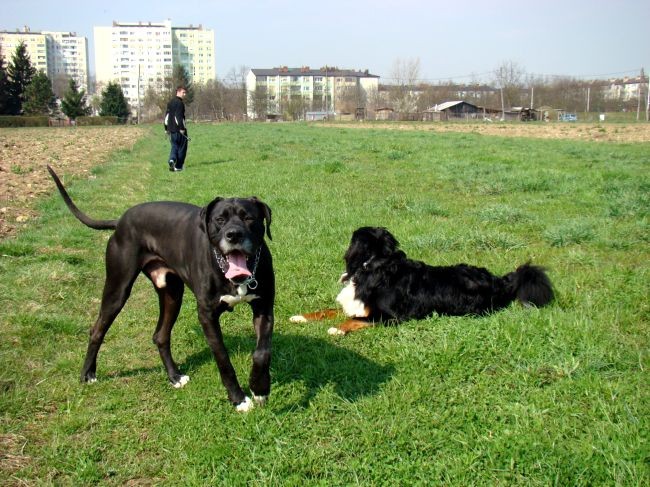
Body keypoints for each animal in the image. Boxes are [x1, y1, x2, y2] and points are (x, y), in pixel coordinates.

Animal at [47, 167, 274, 412]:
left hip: (172, 293)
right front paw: (238, 399)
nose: (234, 235)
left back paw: (175, 377)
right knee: (97, 329)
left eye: (249, 218)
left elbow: (262, 352)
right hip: (118, 288)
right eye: (219, 220)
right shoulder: (207, 316)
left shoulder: (264, 308)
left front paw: (260, 388)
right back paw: (88, 374)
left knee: (160, 335)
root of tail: (120, 221)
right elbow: (223, 359)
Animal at [292, 228, 552, 336]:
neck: (375, 266)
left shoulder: (389, 317)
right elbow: (326, 310)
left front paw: (337, 329)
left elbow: (355, 319)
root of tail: (498, 280)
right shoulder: (355, 304)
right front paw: (300, 317)